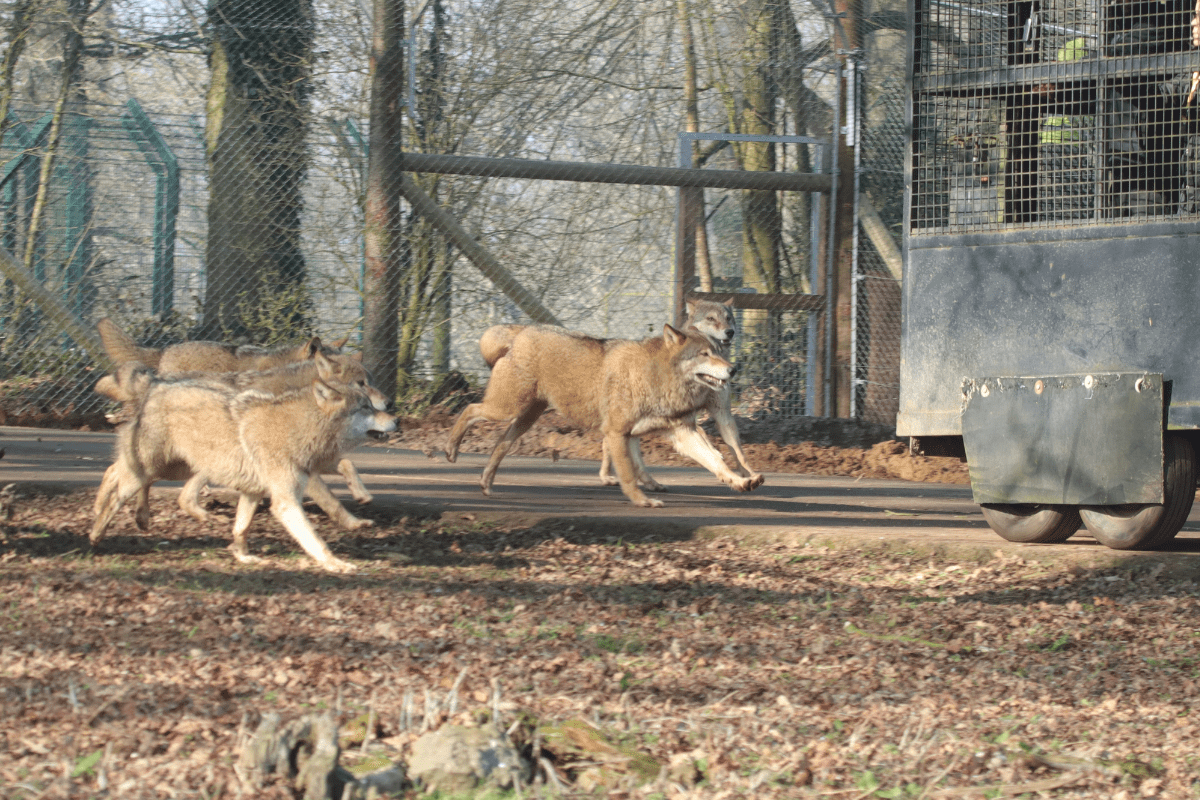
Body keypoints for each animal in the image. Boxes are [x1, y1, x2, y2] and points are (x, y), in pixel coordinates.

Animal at [91, 369, 397, 573]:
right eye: (366, 407)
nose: (396, 419)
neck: (298, 429)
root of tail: (156, 386)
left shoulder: (253, 493)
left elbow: (241, 528)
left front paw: (242, 557)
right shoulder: (286, 502)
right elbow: (316, 540)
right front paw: (336, 564)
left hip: (174, 470)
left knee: (119, 472)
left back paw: (135, 517)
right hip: (156, 469)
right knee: (116, 486)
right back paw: (96, 531)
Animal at [95, 350, 389, 529]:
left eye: (370, 382)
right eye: (361, 384)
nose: (388, 403)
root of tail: (157, 380)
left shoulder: (317, 459)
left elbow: (348, 464)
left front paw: (362, 495)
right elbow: (331, 501)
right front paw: (353, 523)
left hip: (191, 464)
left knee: (157, 486)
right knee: (122, 473)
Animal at [446, 323, 758, 507]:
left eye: (718, 352)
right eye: (704, 354)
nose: (733, 369)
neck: (655, 376)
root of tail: (522, 331)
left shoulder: (679, 434)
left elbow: (717, 461)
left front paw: (741, 481)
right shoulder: (617, 433)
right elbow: (628, 474)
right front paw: (642, 501)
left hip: (523, 419)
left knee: (499, 445)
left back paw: (486, 484)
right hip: (505, 409)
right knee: (469, 410)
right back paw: (451, 451)